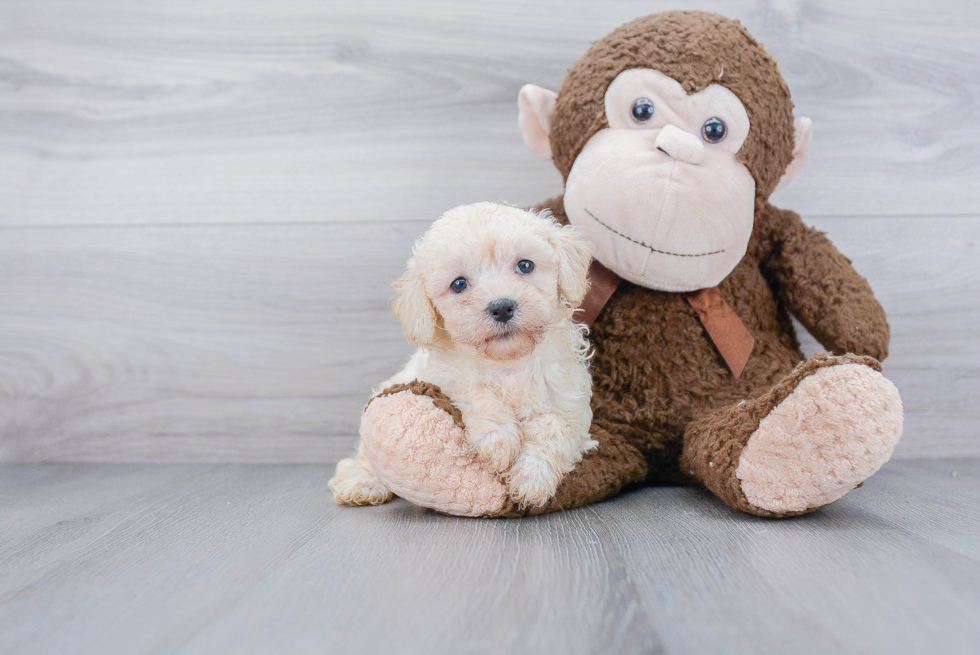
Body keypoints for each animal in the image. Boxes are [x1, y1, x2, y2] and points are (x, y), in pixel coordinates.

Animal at [334, 202, 596, 510]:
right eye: (459, 284)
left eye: (525, 265)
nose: (502, 306)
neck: (508, 362)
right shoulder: (447, 378)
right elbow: (478, 393)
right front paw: (499, 440)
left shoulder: (567, 400)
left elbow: (554, 429)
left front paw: (533, 479)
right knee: (360, 460)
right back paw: (362, 485)